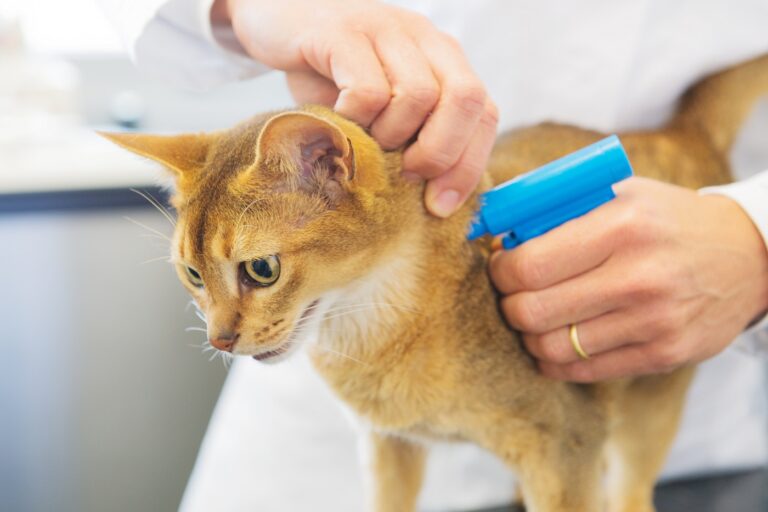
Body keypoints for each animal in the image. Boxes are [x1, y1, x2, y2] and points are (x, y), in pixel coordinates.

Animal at [103, 53, 768, 512]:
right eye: (192, 274)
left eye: (260, 269)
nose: (220, 339)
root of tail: (681, 132)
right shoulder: (388, 446)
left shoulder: (567, 446)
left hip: (650, 403)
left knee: (631, 491)